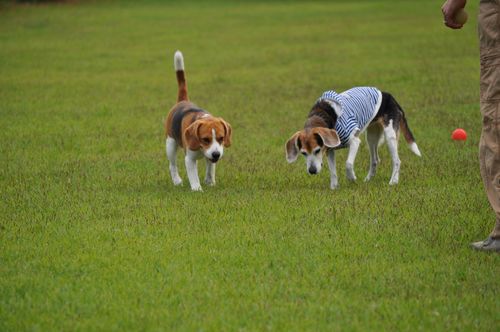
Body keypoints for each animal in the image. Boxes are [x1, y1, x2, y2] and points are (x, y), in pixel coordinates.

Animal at [166, 50, 232, 191]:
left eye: (221, 138)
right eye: (205, 139)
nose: (216, 154)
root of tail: (183, 100)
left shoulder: (211, 156)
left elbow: (210, 169)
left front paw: (210, 182)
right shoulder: (190, 159)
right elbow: (194, 176)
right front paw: (197, 189)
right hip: (170, 144)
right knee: (172, 165)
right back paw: (176, 180)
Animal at [286, 87, 422, 189]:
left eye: (317, 150)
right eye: (303, 153)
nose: (312, 171)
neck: (322, 115)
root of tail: (389, 96)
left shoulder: (354, 141)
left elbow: (348, 163)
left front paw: (351, 178)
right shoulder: (330, 149)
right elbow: (333, 171)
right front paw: (334, 187)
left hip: (390, 136)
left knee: (397, 161)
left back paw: (393, 181)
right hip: (371, 137)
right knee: (375, 160)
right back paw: (368, 179)